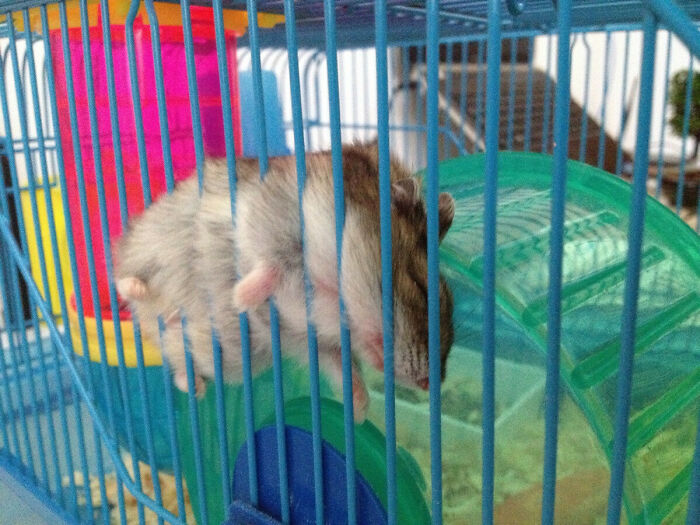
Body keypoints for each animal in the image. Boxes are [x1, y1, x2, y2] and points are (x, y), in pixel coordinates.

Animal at [115, 143, 455, 421]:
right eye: (422, 287)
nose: (432, 384)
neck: (336, 296)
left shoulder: (314, 341)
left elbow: (344, 368)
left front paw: (359, 412)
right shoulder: (276, 218)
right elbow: (272, 263)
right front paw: (241, 297)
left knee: (178, 365)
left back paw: (191, 373)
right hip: (152, 238)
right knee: (123, 276)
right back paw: (145, 292)